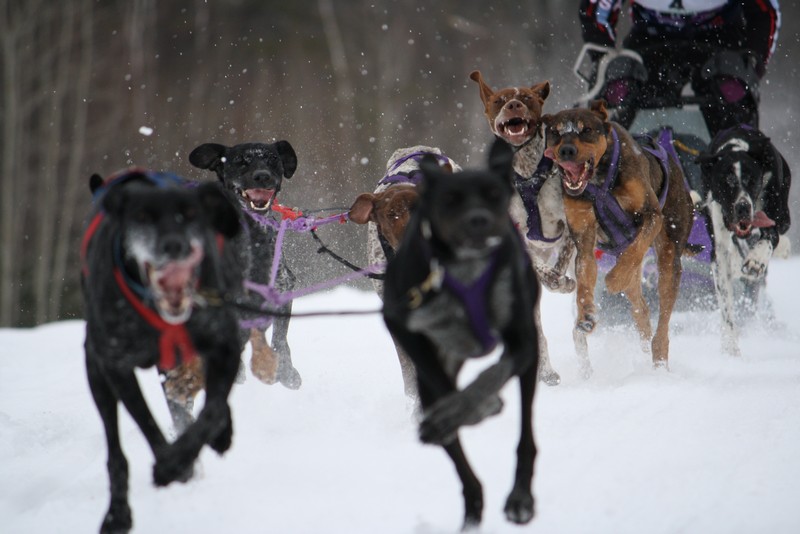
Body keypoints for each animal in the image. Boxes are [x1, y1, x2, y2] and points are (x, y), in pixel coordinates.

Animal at [81, 171, 245, 534]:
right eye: (142, 216)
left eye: (192, 214)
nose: (174, 245)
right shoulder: (115, 365)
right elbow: (147, 423)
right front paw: (174, 465)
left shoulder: (224, 344)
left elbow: (212, 410)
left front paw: (184, 455)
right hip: (98, 375)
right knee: (115, 450)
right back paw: (118, 513)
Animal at [189, 140, 302, 392]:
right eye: (241, 160)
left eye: (273, 159)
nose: (263, 176)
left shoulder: (282, 289)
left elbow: (280, 338)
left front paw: (285, 370)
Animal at [382, 139, 544, 532]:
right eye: (450, 199)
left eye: (494, 195)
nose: (478, 220)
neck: (467, 270)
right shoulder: (402, 323)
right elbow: (445, 387)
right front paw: (467, 409)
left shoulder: (524, 339)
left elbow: (493, 375)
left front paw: (481, 401)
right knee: (463, 465)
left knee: (522, 433)